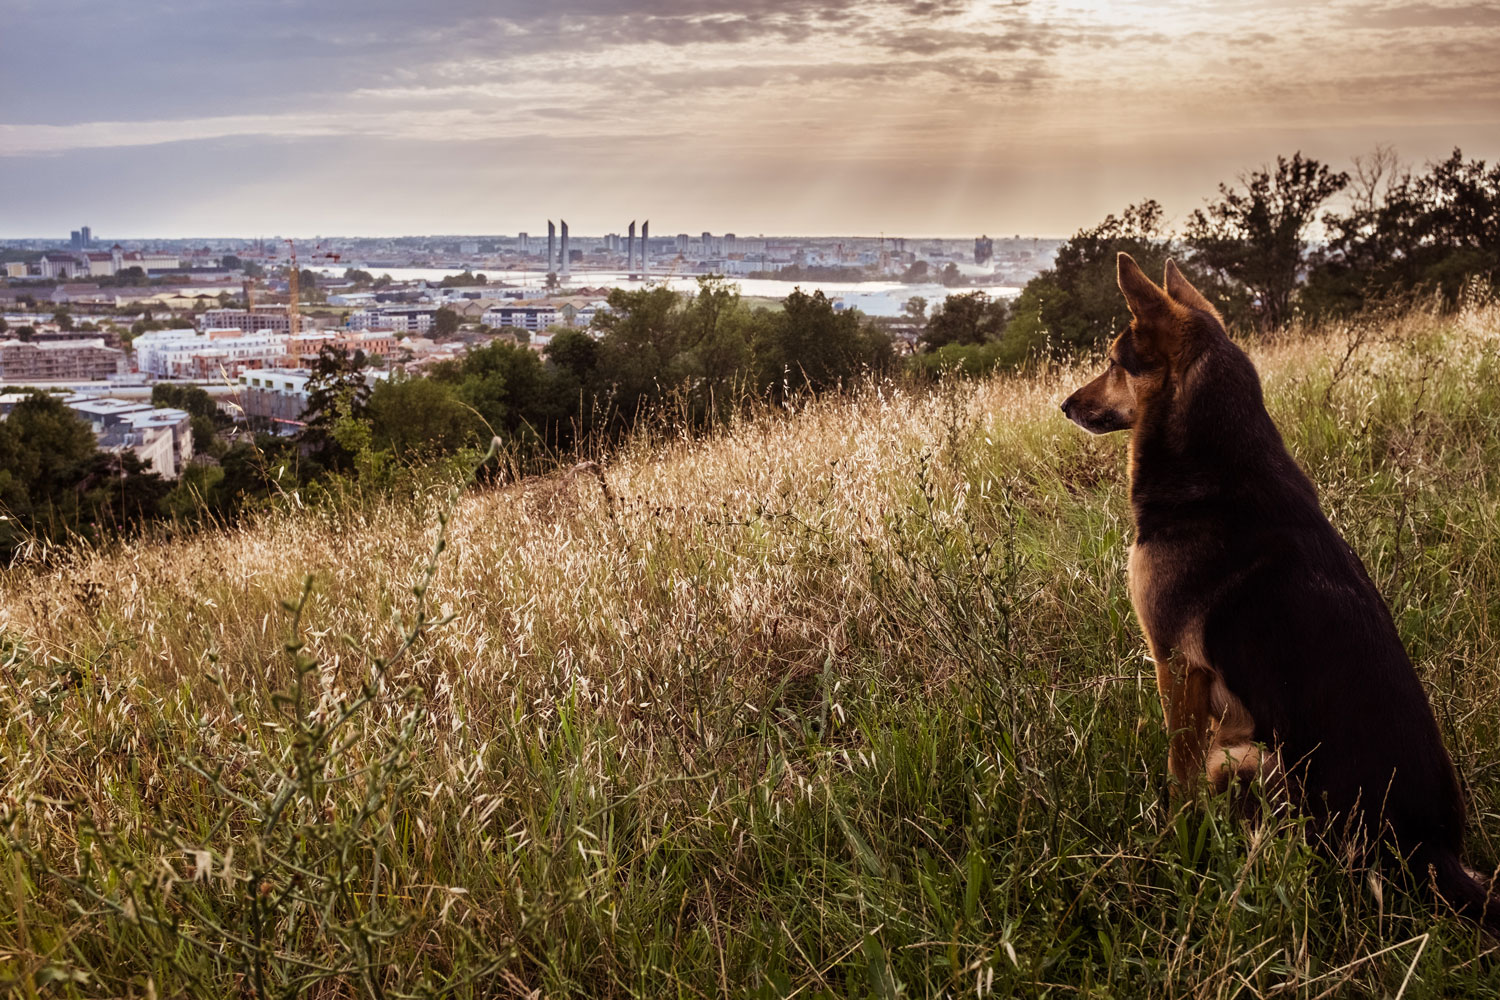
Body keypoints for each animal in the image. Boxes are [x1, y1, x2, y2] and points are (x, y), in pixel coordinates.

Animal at [1062, 254, 1494, 935]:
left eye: (1113, 360)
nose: (1066, 405)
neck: (1216, 468)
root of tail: (1433, 852)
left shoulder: (1174, 665)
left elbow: (1177, 772)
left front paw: (1170, 842)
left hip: (1246, 759)